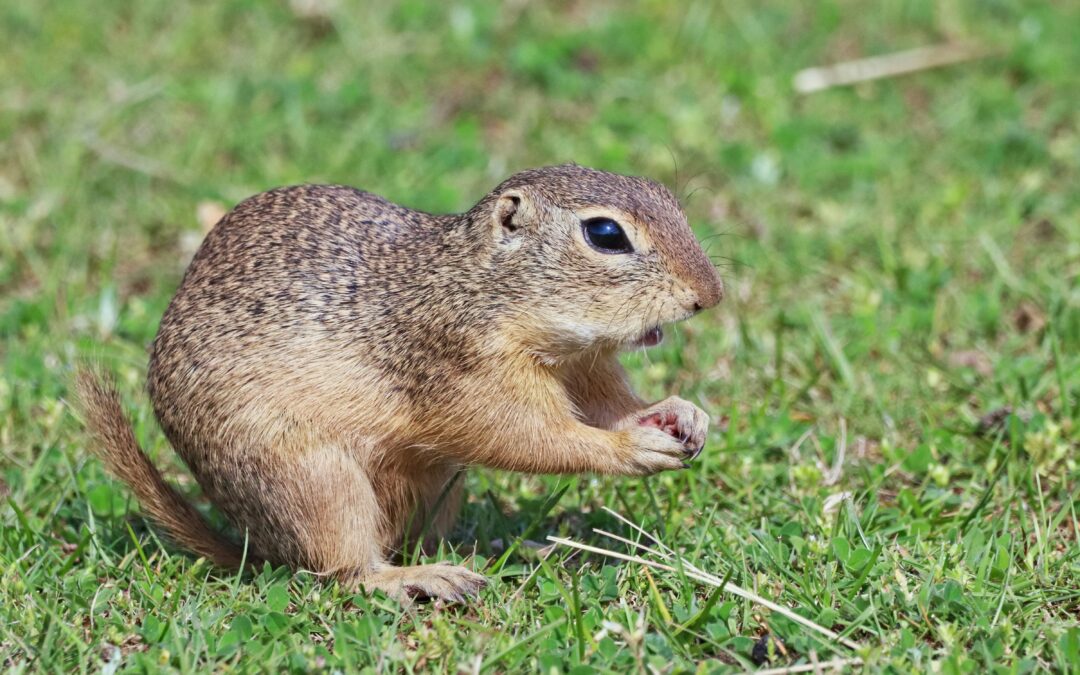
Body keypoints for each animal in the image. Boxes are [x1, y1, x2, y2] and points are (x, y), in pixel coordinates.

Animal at [76, 163, 723, 602]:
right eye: (606, 234)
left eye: (670, 198)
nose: (709, 295)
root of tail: (254, 547)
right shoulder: (465, 368)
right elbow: (529, 438)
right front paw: (631, 447)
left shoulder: (588, 366)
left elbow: (611, 406)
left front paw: (682, 414)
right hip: (315, 482)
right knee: (345, 571)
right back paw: (424, 577)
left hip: (434, 487)